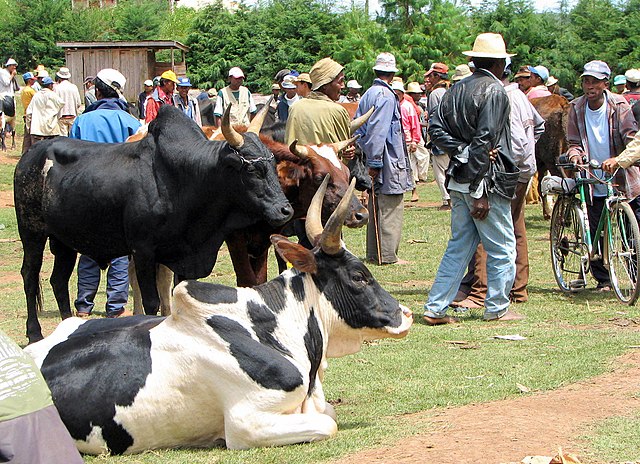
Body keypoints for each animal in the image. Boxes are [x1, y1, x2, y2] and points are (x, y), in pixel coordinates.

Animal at [15, 105, 294, 344]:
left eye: (272, 164)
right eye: (252, 170)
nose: (285, 210)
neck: (186, 180)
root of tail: (30, 155)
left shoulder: (184, 255)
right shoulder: (143, 251)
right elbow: (152, 301)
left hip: (64, 241)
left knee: (58, 281)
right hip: (32, 233)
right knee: (30, 277)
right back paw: (34, 333)